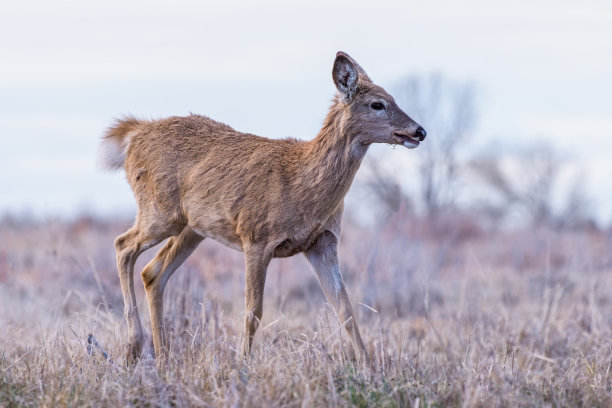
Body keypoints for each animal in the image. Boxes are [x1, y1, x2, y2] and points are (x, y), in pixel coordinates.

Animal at [100, 51, 426, 366]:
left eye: (393, 97)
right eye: (377, 104)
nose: (419, 131)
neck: (303, 184)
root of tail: (135, 135)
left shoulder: (323, 243)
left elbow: (345, 310)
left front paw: (370, 369)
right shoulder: (256, 237)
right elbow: (253, 312)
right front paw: (242, 366)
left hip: (193, 228)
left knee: (152, 272)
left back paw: (162, 359)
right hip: (160, 211)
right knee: (122, 245)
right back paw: (134, 346)